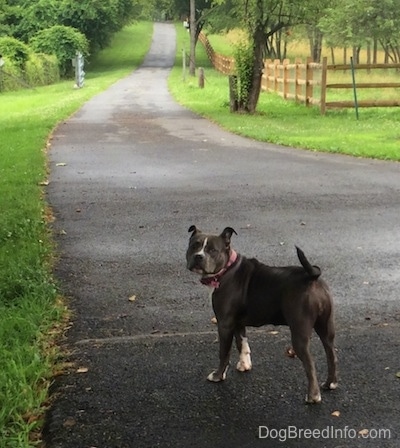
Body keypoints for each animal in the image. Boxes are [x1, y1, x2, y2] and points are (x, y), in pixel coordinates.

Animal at [186, 226, 336, 404]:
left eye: (212, 250)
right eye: (194, 246)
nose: (198, 256)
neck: (227, 268)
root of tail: (312, 277)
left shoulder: (224, 324)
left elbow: (224, 352)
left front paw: (218, 375)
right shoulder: (237, 323)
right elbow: (242, 343)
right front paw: (244, 364)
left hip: (300, 332)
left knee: (310, 362)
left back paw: (313, 396)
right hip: (326, 328)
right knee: (331, 353)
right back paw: (330, 383)